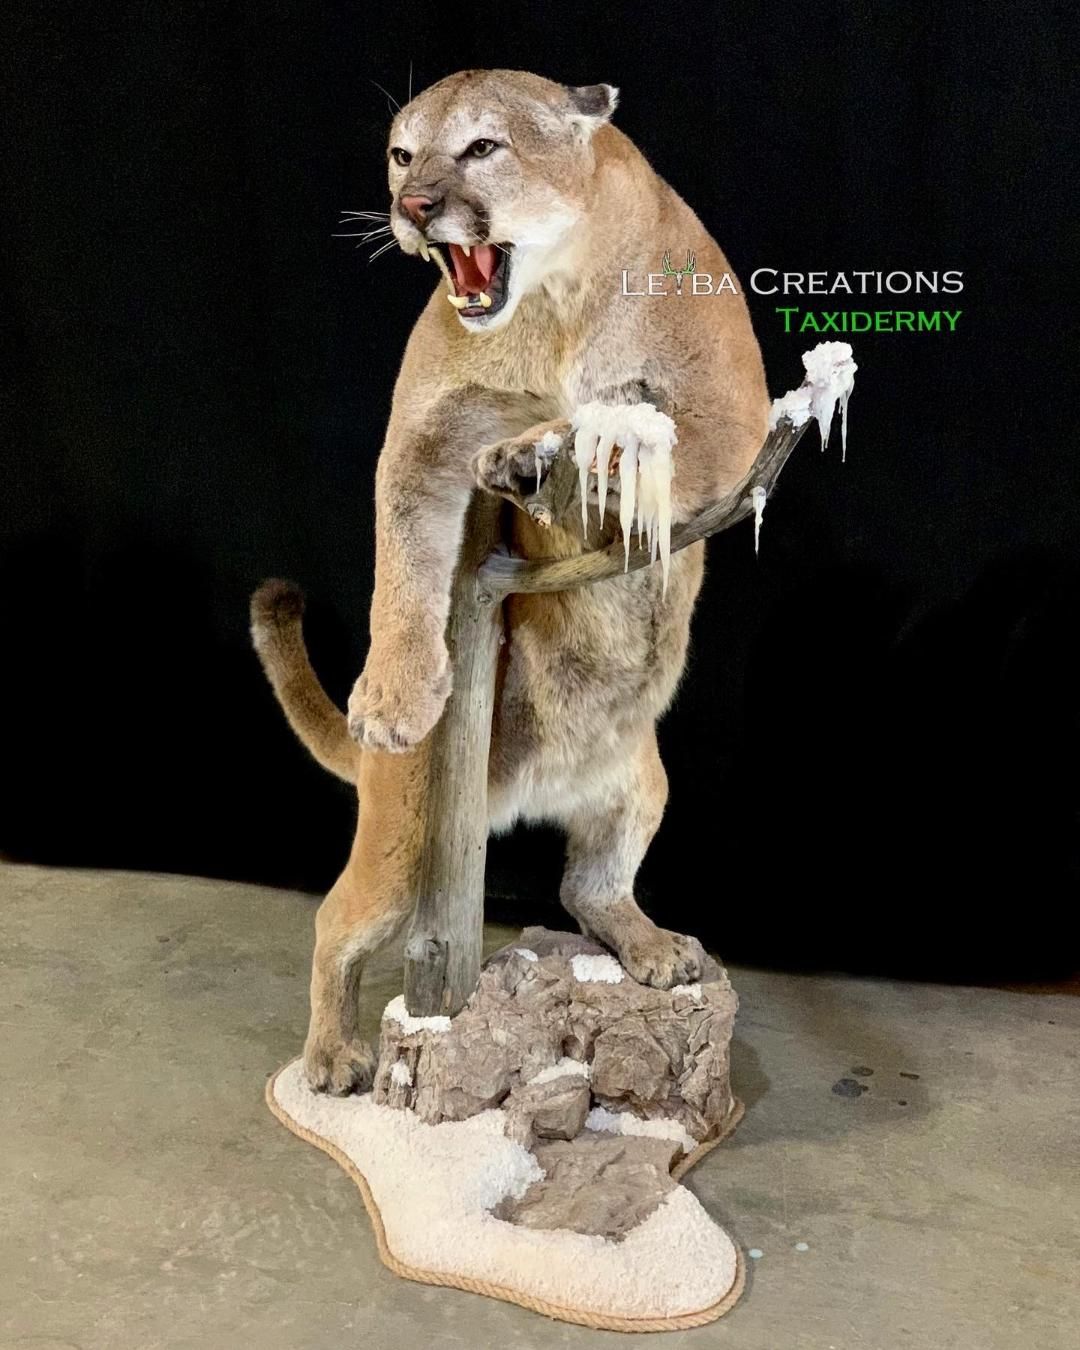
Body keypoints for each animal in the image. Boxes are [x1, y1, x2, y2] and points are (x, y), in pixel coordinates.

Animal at [251, 69, 768, 1092]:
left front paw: (557, 449)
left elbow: (646, 442)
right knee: (337, 922)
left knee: (586, 883)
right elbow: (404, 556)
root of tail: (534, 792)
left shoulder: (734, 412)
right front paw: (395, 692)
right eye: (402, 153)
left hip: (640, 781)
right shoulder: (424, 432)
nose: (415, 206)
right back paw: (330, 1056)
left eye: (484, 147)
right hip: (406, 834)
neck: (557, 298)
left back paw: (654, 949)